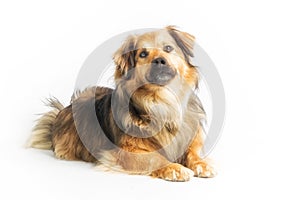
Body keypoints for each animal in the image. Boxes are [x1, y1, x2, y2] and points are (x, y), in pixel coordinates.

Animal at [28, 26, 216, 181]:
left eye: (168, 48)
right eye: (143, 54)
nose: (160, 60)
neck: (162, 100)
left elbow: (193, 153)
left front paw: (202, 163)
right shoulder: (126, 153)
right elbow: (155, 158)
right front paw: (174, 168)